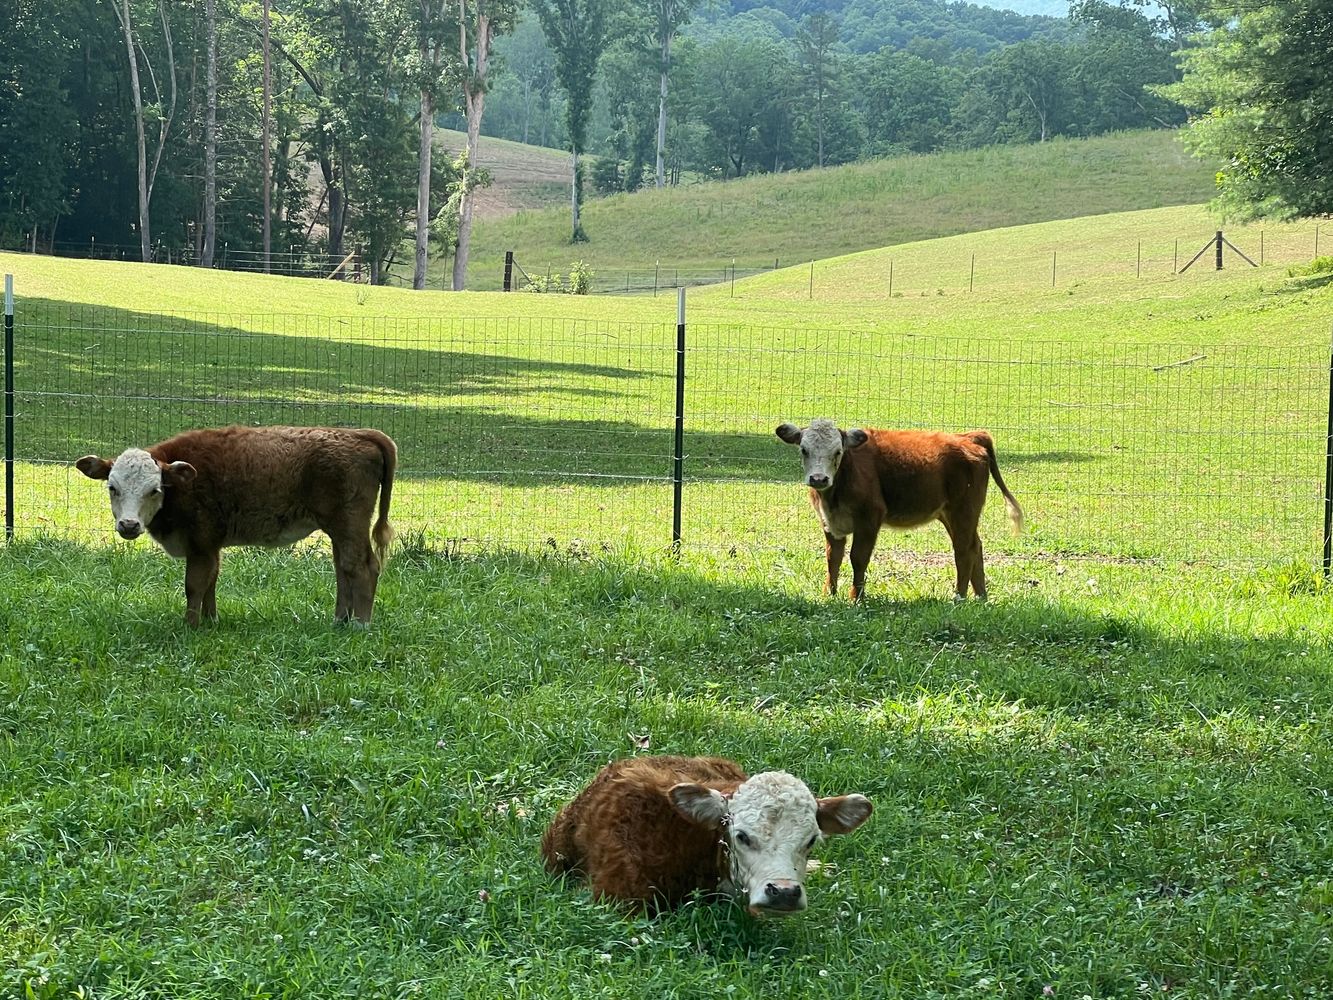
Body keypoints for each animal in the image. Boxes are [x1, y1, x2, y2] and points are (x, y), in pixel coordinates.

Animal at [75, 425, 396, 626]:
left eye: (154, 490)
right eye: (113, 488)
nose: (129, 524)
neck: (184, 482)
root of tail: (358, 434)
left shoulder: (201, 544)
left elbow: (194, 585)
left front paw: (190, 625)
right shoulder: (210, 546)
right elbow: (211, 582)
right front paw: (211, 620)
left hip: (349, 525)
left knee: (362, 568)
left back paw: (360, 624)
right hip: (339, 530)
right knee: (343, 569)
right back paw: (340, 620)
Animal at [775, 418, 1023, 601]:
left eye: (837, 451)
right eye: (804, 450)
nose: (818, 478)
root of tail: (967, 437)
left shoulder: (869, 518)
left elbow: (858, 558)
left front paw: (856, 597)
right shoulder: (829, 522)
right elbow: (832, 558)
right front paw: (830, 595)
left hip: (963, 511)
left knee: (964, 551)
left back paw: (959, 597)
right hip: (951, 515)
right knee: (975, 546)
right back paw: (980, 597)